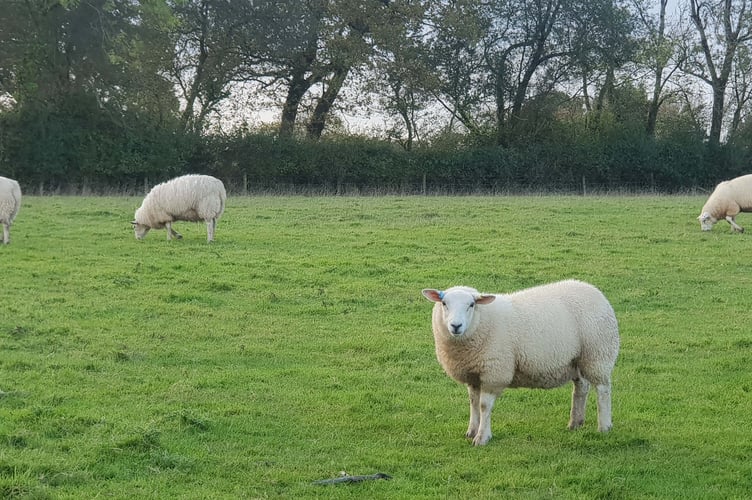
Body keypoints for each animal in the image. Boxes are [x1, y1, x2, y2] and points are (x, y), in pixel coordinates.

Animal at [420, 280, 620, 448]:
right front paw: (472, 431)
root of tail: (594, 290)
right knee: (581, 388)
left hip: (597, 355)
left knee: (603, 390)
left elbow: (484, 406)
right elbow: (473, 403)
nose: (456, 326)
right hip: (576, 360)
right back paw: (575, 423)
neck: (482, 321)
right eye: (444, 303)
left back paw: (604, 426)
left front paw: (482, 437)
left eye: (471, 305)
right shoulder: (474, 375)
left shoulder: (494, 372)